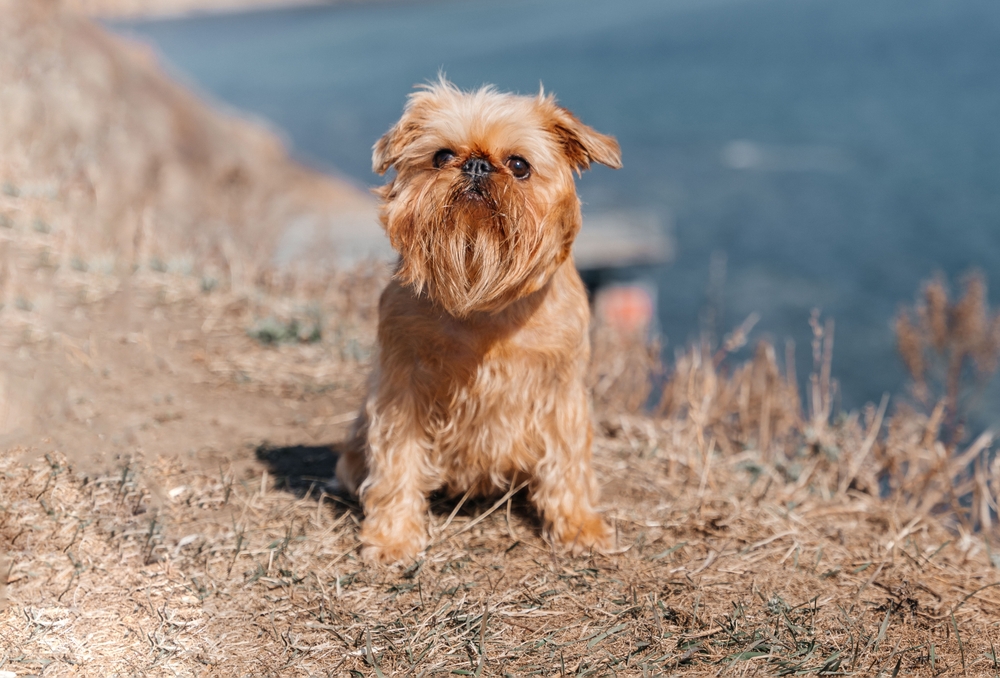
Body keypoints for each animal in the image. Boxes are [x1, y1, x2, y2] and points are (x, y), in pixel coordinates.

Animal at [340, 78, 620, 564]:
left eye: (519, 165)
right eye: (441, 156)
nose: (475, 164)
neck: (484, 302)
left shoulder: (560, 392)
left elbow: (567, 461)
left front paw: (579, 527)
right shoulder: (403, 386)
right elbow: (398, 459)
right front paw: (393, 536)